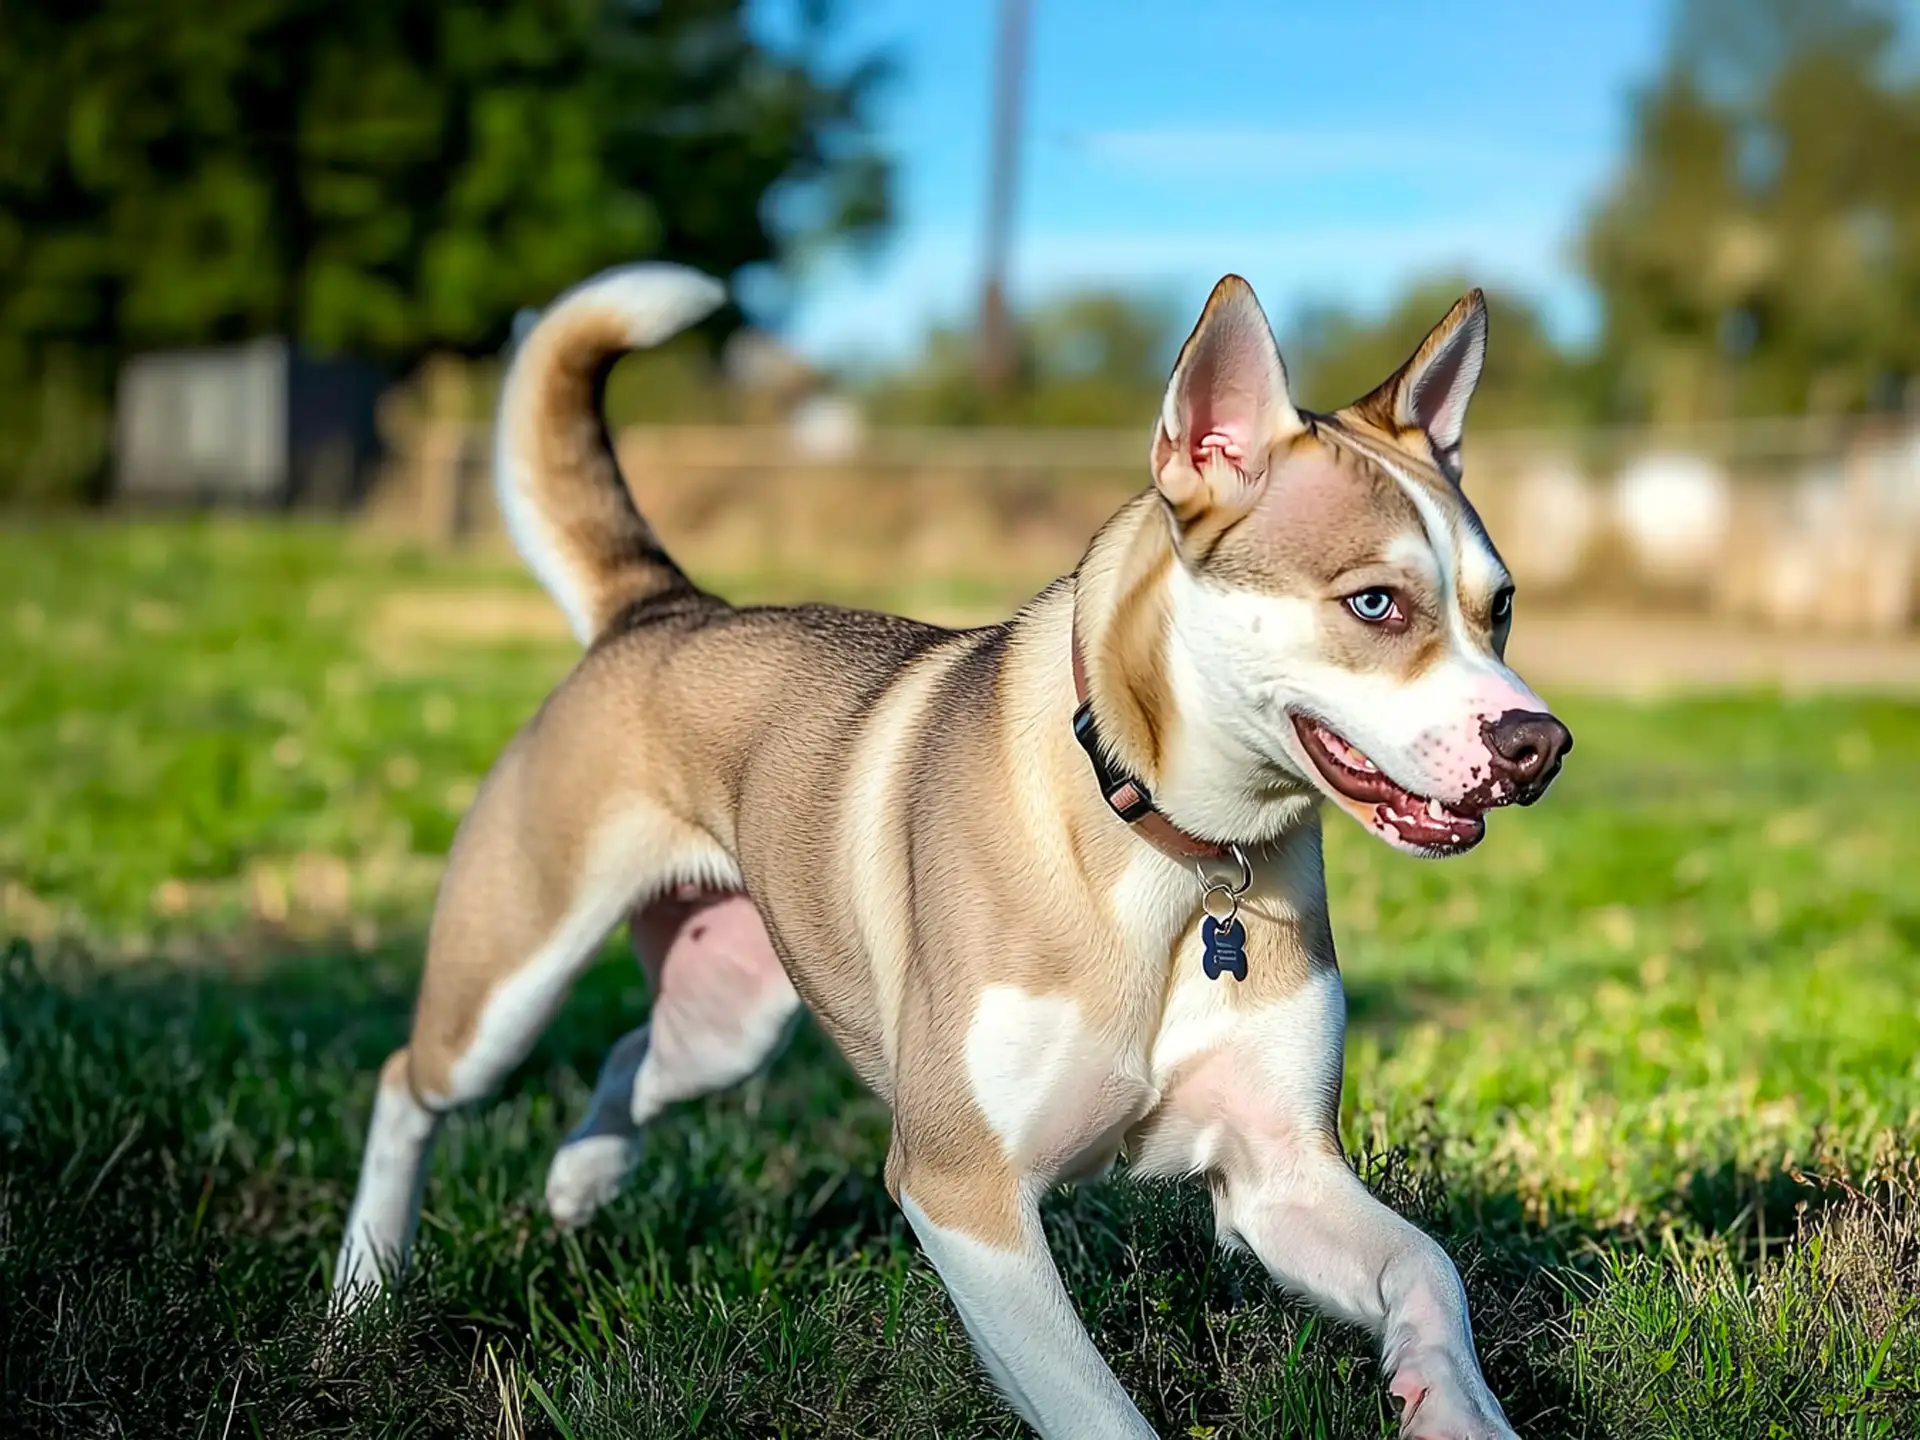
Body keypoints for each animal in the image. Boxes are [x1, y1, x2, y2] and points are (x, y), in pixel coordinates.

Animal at [341, 263, 1574, 1440]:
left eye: (1503, 607)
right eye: (1374, 604)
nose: (1539, 745)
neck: (1179, 857)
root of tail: (663, 609)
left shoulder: (1275, 1176)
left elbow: (1429, 1268)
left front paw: (1454, 1409)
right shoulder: (963, 1189)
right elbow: (1097, 1412)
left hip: (726, 1016)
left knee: (634, 1056)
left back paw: (582, 1179)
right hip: (510, 980)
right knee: (409, 1081)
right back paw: (364, 1290)